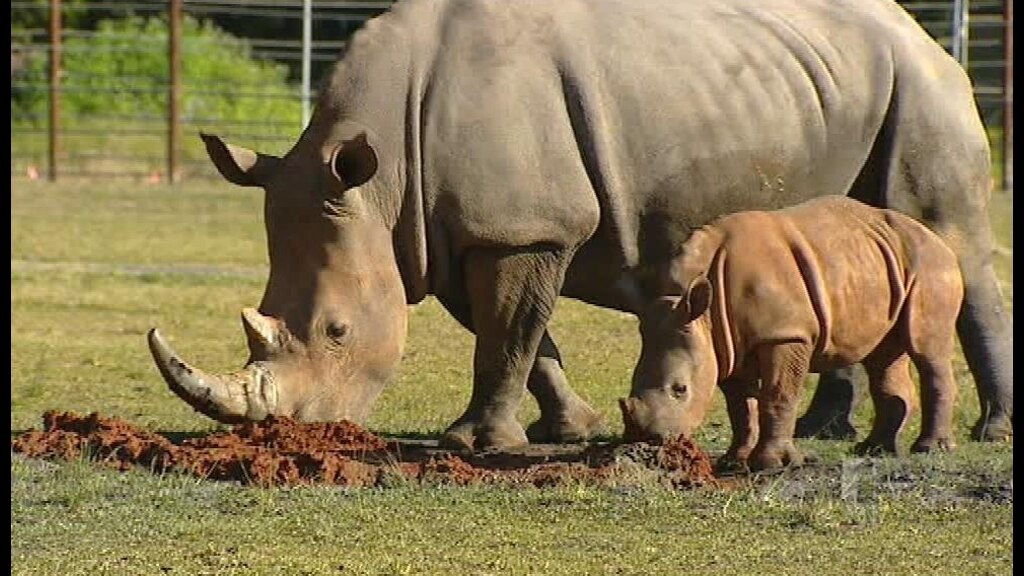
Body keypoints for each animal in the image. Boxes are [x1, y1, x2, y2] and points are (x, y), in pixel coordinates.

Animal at [619, 196, 963, 470]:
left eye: (680, 389)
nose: (646, 439)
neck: (704, 313)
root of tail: (937, 238)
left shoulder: (785, 334)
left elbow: (778, 394)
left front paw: (774, 465)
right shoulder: (724, 344)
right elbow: (740, 405)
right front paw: (734, 460)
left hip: (931, 266)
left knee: (927, 352)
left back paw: (930, 449)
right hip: (882, 263)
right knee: (883, 358)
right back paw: (874, 450)